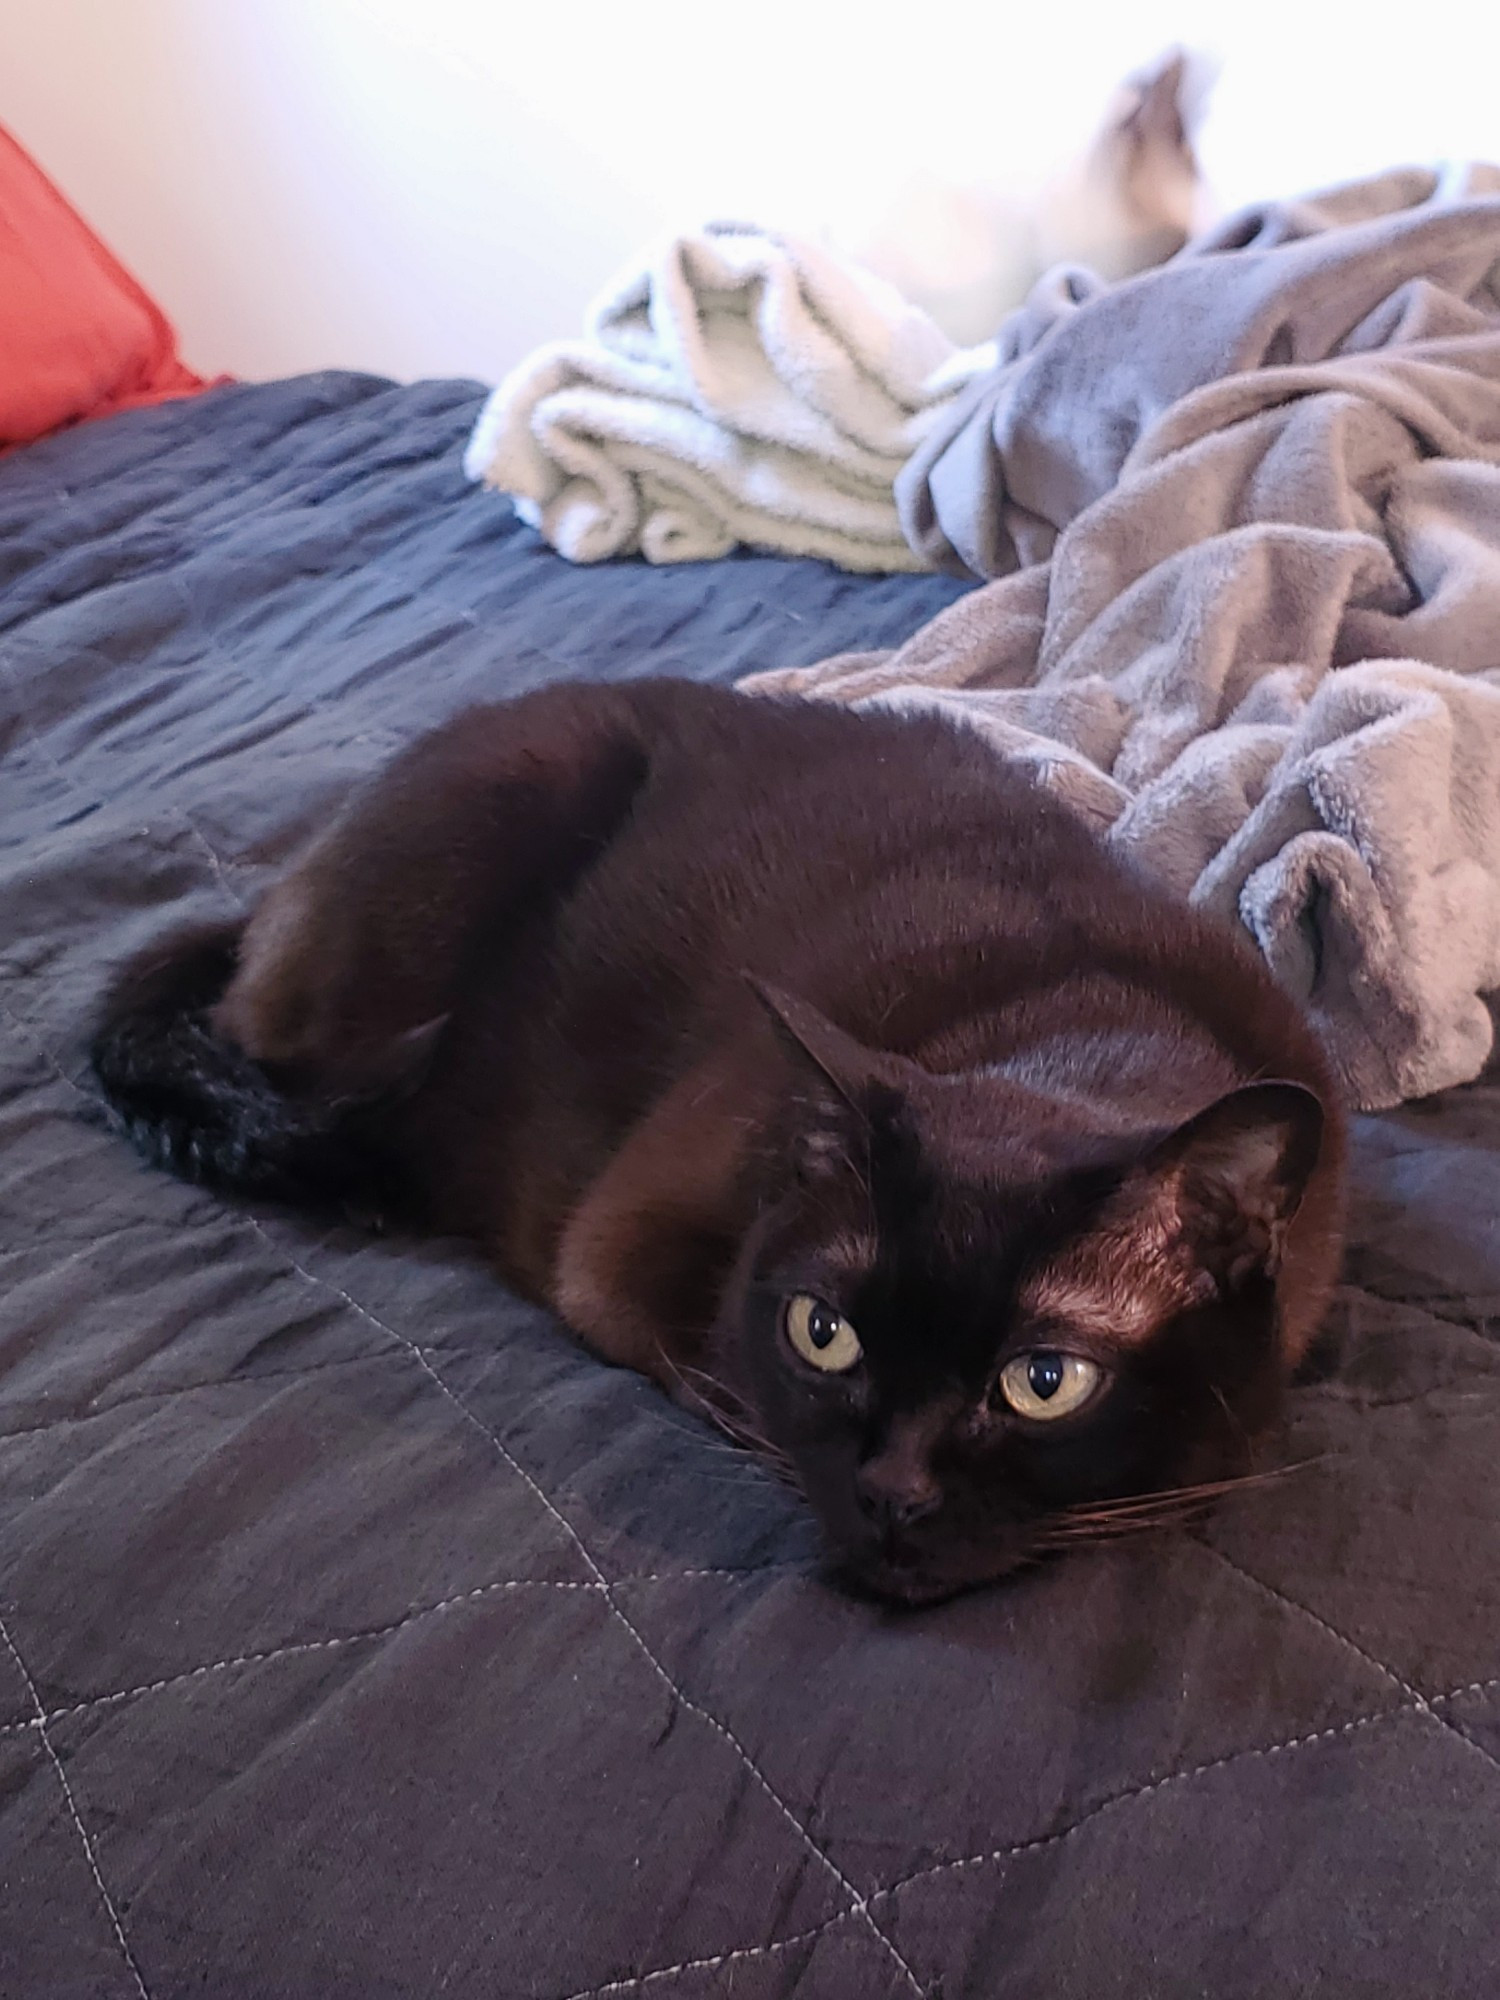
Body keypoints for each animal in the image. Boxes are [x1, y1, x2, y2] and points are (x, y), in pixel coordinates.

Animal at [100, 680, 1360, 1600]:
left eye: (1044, 1382)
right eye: (823, 1332)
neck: (1078, 1026)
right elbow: (729, 1387)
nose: (891, 1492)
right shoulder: (615, 1260)